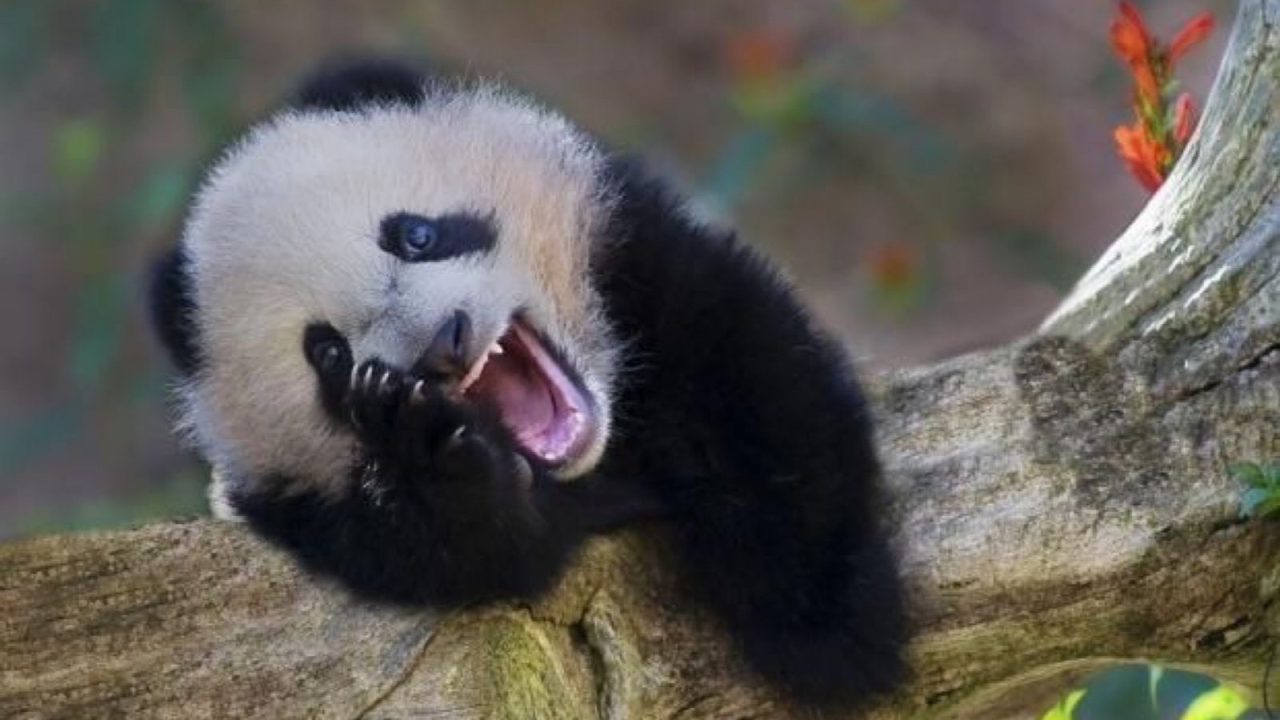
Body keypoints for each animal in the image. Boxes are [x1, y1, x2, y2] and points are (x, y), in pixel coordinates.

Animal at [149, 58, 907, 707]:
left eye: (416, 235)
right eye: (328, 354)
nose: (442, 346)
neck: (597, 458)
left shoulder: (636, 260)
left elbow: (752, 385)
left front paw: (826, 625)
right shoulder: (301, 511)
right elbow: (468, 556)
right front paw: (428, 461)